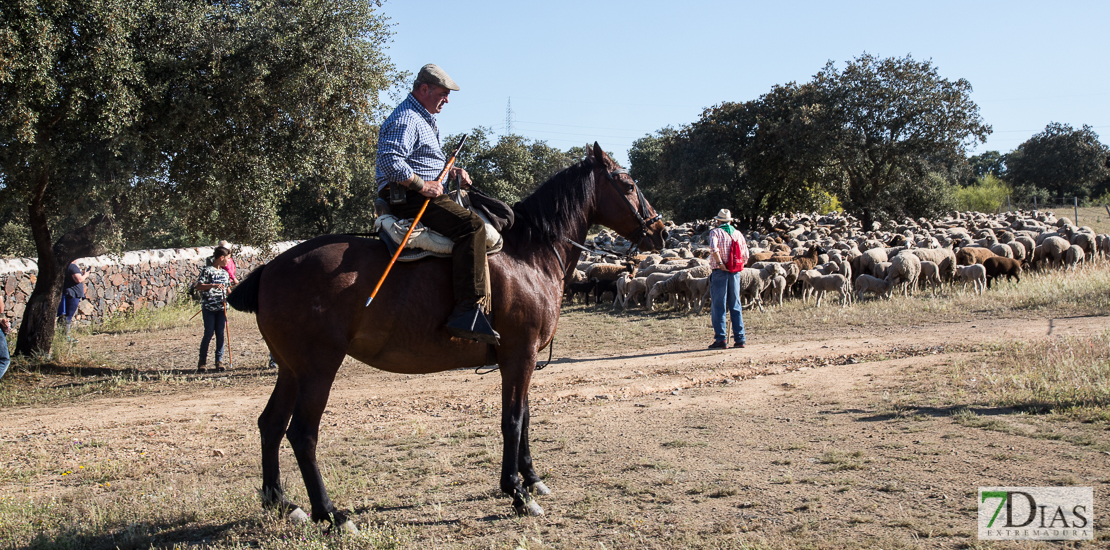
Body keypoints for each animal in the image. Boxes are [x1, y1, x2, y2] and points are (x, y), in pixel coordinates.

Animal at [223, 144, 657, 531]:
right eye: (628, 182)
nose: (660, 230)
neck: (529, 253)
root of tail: (269, 268)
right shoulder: (519, 355)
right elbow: (513, 420)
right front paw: (517, 492)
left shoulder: (524, 358)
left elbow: (525, 416)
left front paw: (531, 479)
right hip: (318, 369)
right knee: (301, 434)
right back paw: (331, 514)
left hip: (291, 370)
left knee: (270, 424)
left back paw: (282, 502)